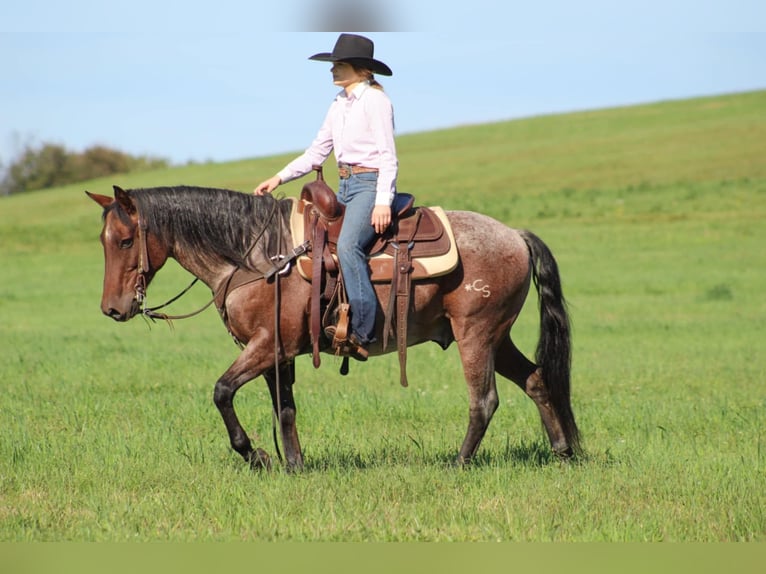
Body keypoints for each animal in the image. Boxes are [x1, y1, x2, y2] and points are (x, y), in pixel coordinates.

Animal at [87, 186, 584, 472]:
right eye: (103, 242)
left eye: (126, 240)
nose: (112, 309)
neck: (258, 258)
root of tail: (515, 235)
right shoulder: (279, 353)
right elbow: (285, 410)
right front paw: (294, 465)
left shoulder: (266, 347)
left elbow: (222, 392)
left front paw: (257, 456)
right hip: (498, 337)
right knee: (537, 380)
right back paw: (563, 452)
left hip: (476, 335)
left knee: (484, 401)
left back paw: (458, 465)